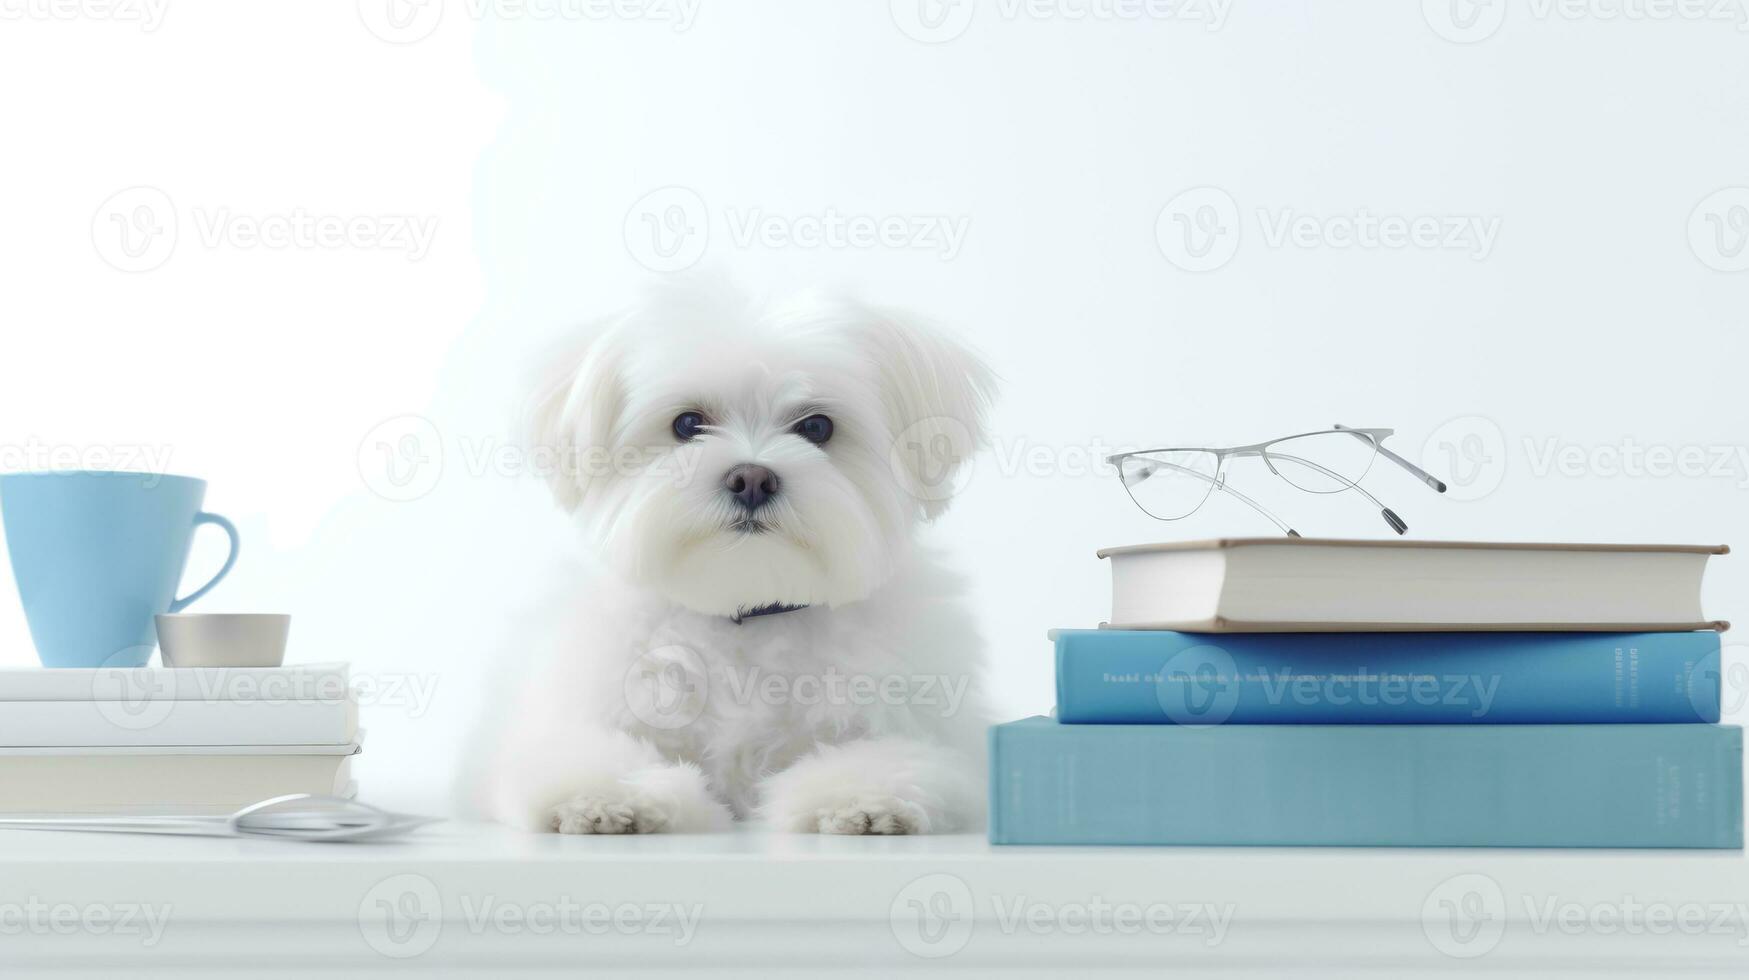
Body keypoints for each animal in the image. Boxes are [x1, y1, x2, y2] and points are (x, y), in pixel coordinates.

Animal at [479, 281, 1000, 833]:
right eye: (688, 423)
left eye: (817, 427)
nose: (751, 478)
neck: (747, 610)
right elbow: (588, 754)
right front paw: (606, 798)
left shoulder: (919, 732)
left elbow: (884, 757)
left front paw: (861, 799)